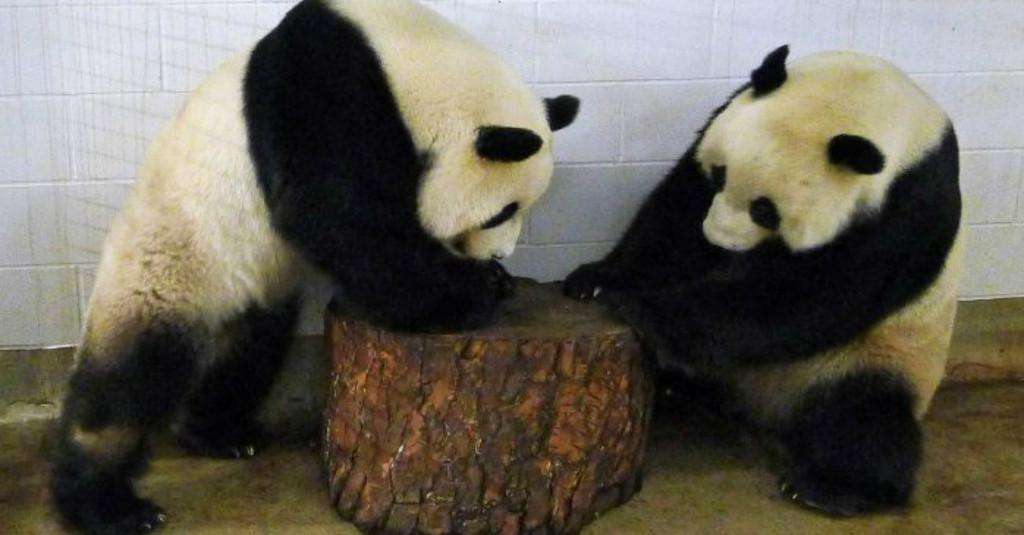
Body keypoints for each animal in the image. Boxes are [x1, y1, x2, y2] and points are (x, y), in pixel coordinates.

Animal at [51, 1, 580, 533]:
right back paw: (107, 504)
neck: (412, 63)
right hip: (174, 264)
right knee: (128, 384)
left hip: (250, 285)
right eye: (503, 212)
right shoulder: (323, 87)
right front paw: (467, 294)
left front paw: (493, 281)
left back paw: (217, 434)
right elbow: (331, 211)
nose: (499, 256)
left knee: (247, 352)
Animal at [565, 45, 961, 516]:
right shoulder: (725, 116)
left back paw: (832, 487)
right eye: (720, 174)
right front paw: (598, 280)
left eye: (765, 210)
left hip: (875, 357)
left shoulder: (911, 205)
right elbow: (678, 210)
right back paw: (676, 390)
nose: (717, 239)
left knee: (865, 421)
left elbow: (818, 294)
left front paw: (642, 310)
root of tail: (761, 410)